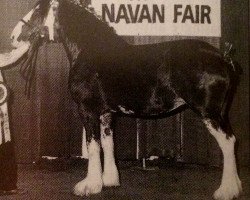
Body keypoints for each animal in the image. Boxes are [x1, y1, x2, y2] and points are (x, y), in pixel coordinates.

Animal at [6, 0, 242, 200]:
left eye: (37, 10)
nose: (13, 37)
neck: (90, 50)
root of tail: (222, 57)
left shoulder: (88, 110)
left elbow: (93, 146)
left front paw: (89, 185)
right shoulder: (107, 113)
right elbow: (108, 143)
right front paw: (109, 180)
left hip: (209, 112)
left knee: (228, 142)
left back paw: (226, 190)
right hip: (219, 112)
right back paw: (236, 187)